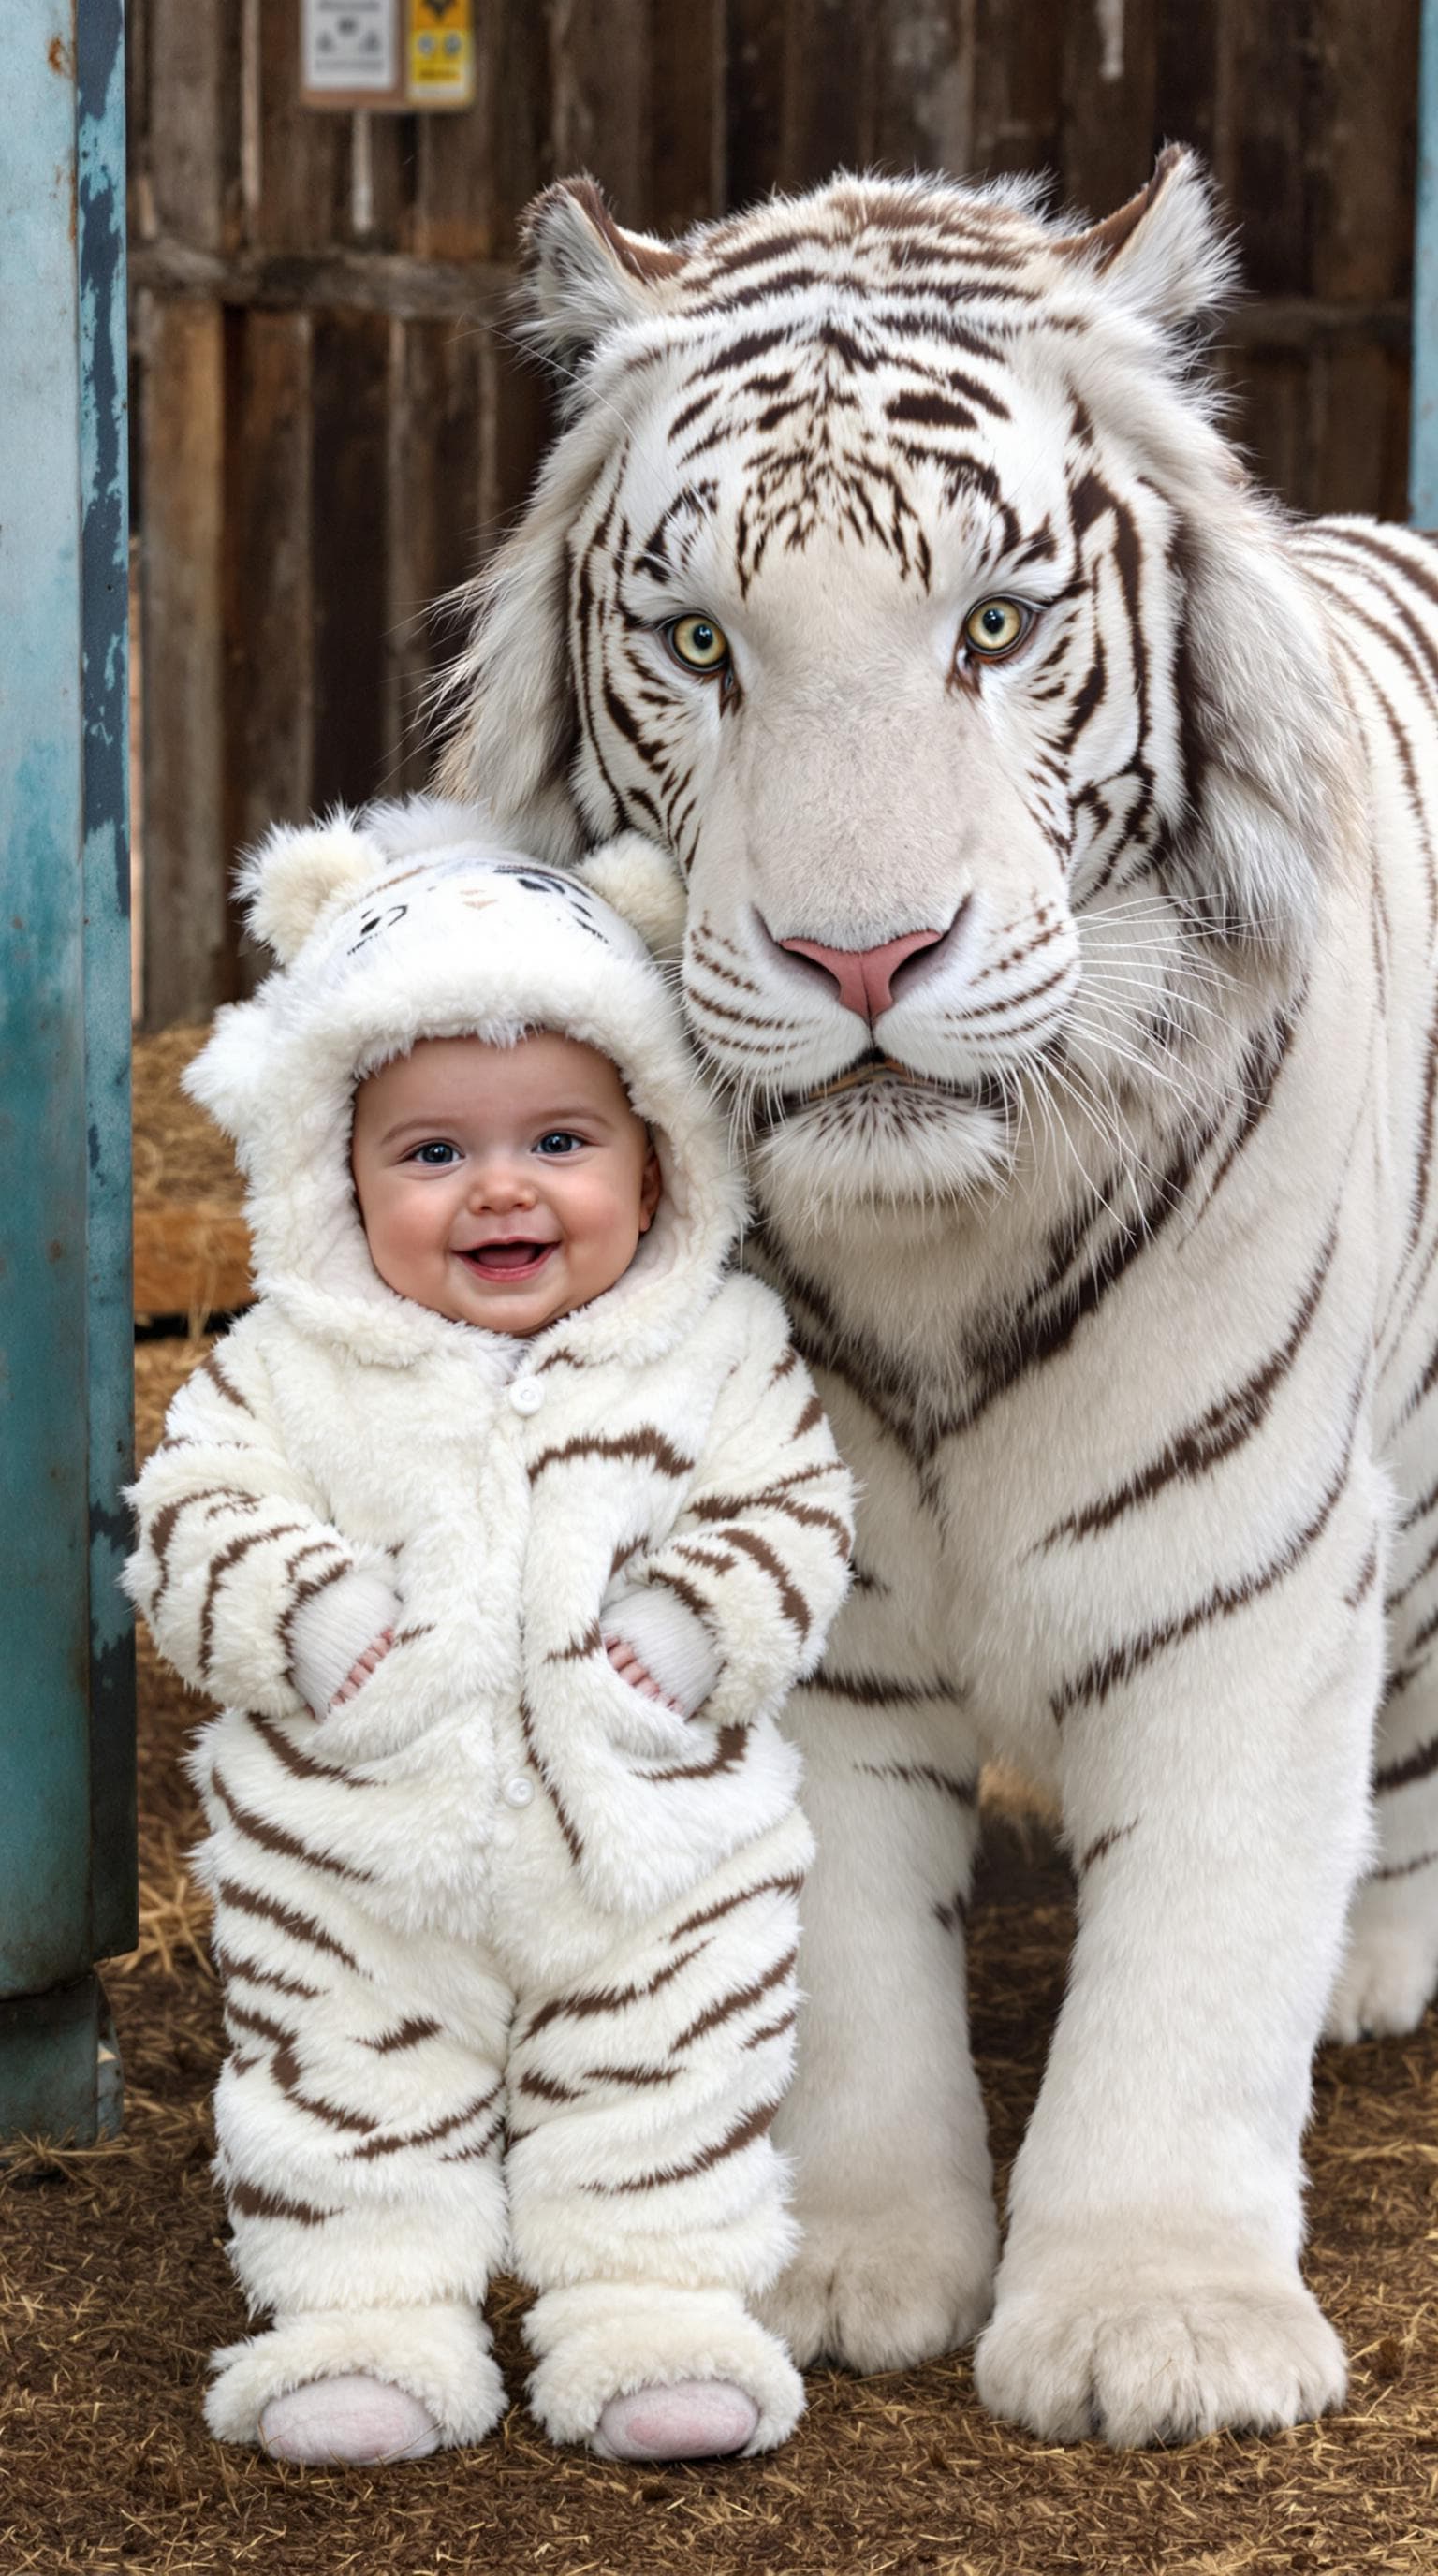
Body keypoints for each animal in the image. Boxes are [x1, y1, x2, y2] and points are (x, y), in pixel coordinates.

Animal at [434, 147, 1438, 2446]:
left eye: (994, 626)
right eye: (699, 641)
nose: (863, 957)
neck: (941, 1250)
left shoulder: (1252, 1567)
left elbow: (1201, 1955)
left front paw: (1159, 2325)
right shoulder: (776, 1577)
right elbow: (834, 1968)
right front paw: (834, 2262)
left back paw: (1378, 1959)